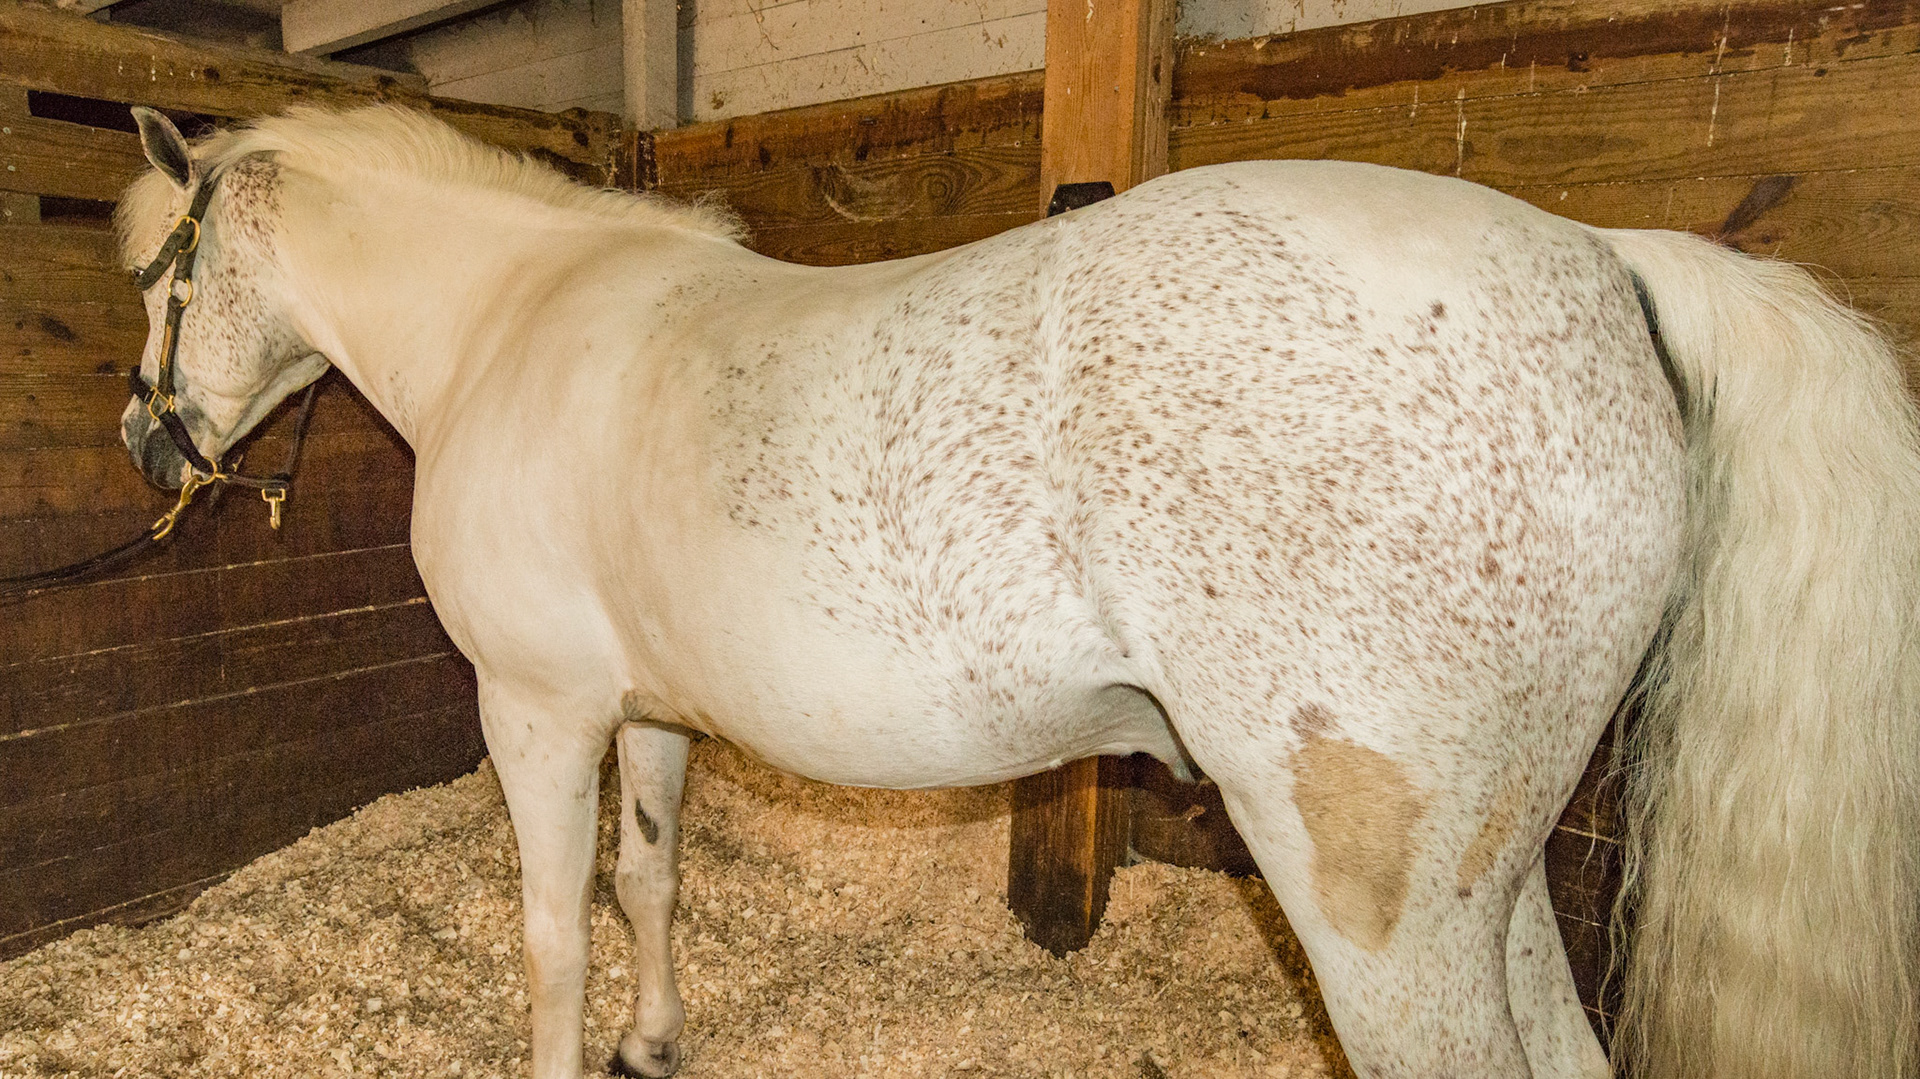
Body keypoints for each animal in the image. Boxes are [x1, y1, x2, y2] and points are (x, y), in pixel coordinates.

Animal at [111, 103, 1920, 1079]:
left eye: (156, 275)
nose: (145, 441)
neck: (525, 316)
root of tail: (1602, 256)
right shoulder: (649, 714)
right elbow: (647, 883)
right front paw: (655, 1036)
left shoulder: (539, 708)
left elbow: (555, 927)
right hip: (1491, 876)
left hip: (1384, 907)